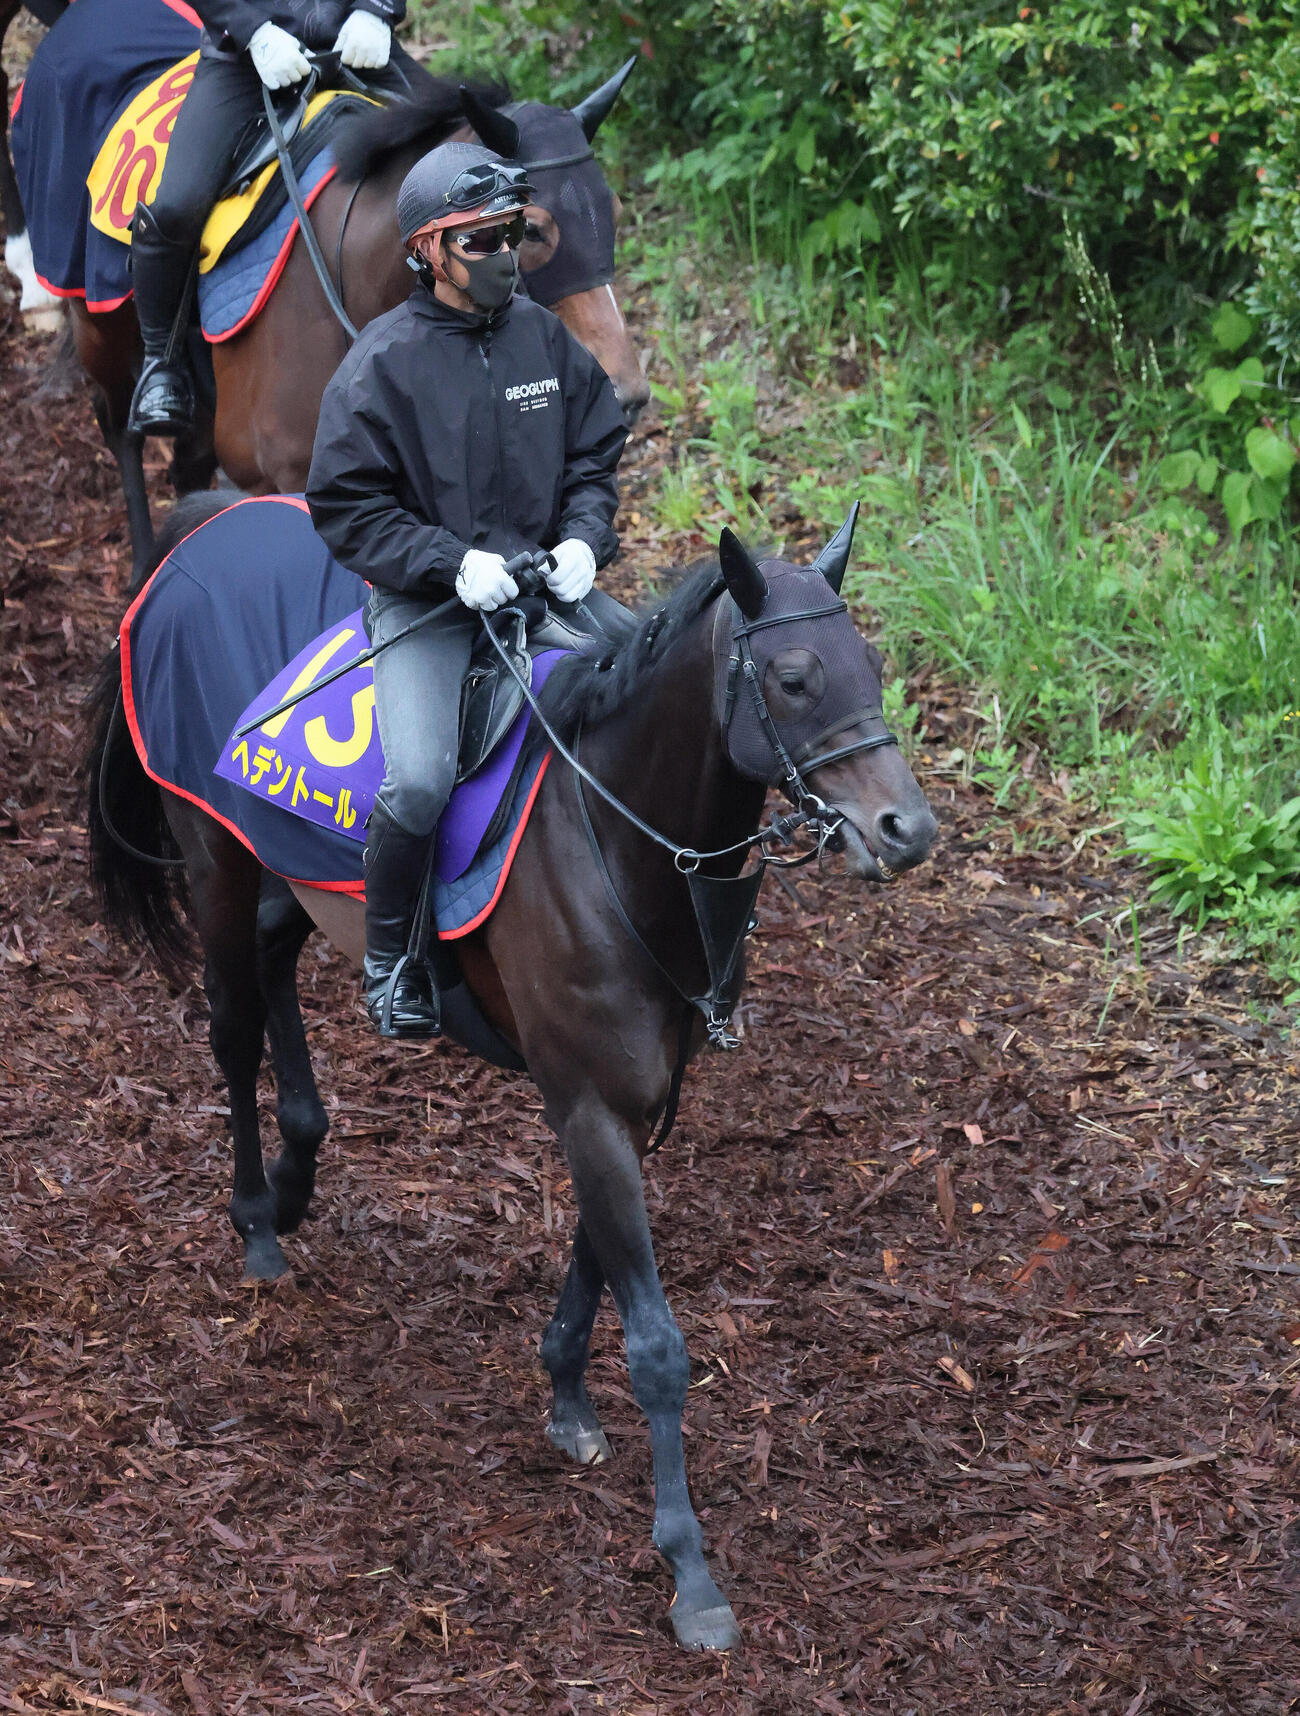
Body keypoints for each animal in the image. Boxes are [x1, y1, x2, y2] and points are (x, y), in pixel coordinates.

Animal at [86, 491, 937, 1649]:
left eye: (876, 666)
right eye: (797, 678)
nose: (907, 828)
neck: (617, 839)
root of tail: (216, 515)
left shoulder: (635, 1098)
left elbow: (593, 1259)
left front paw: (565, 1394)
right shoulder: (585, 1102)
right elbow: (657, 1343)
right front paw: (690, 1571)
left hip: (294, 860)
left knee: (270, 958)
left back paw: (303, 1165)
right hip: (216, 849)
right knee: (230, 1021)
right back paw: (258, 1219)